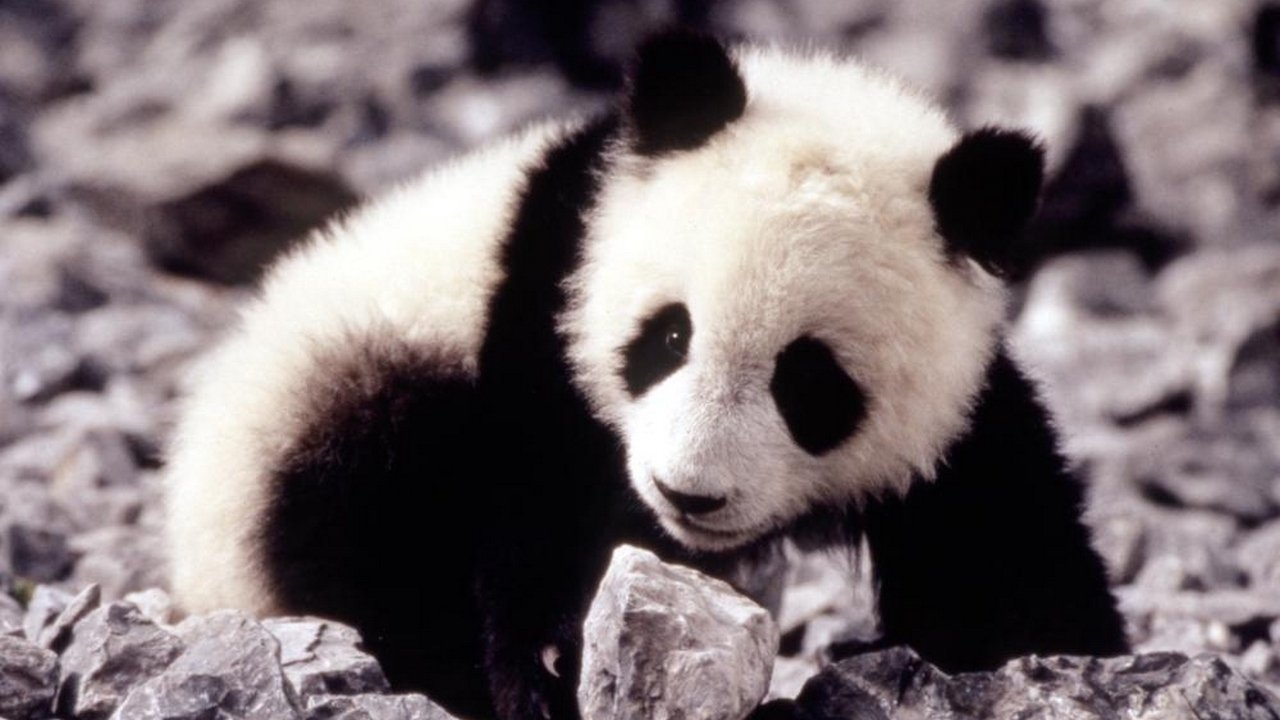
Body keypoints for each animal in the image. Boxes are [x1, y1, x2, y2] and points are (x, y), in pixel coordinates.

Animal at [165, 31, 1128, 720]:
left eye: (809, 384)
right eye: (669, 336)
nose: (688, 493)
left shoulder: (958, 409)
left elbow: (1002, 552)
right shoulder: (548, 309)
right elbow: (535, 500)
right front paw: (554, 662)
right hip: (331, 402)